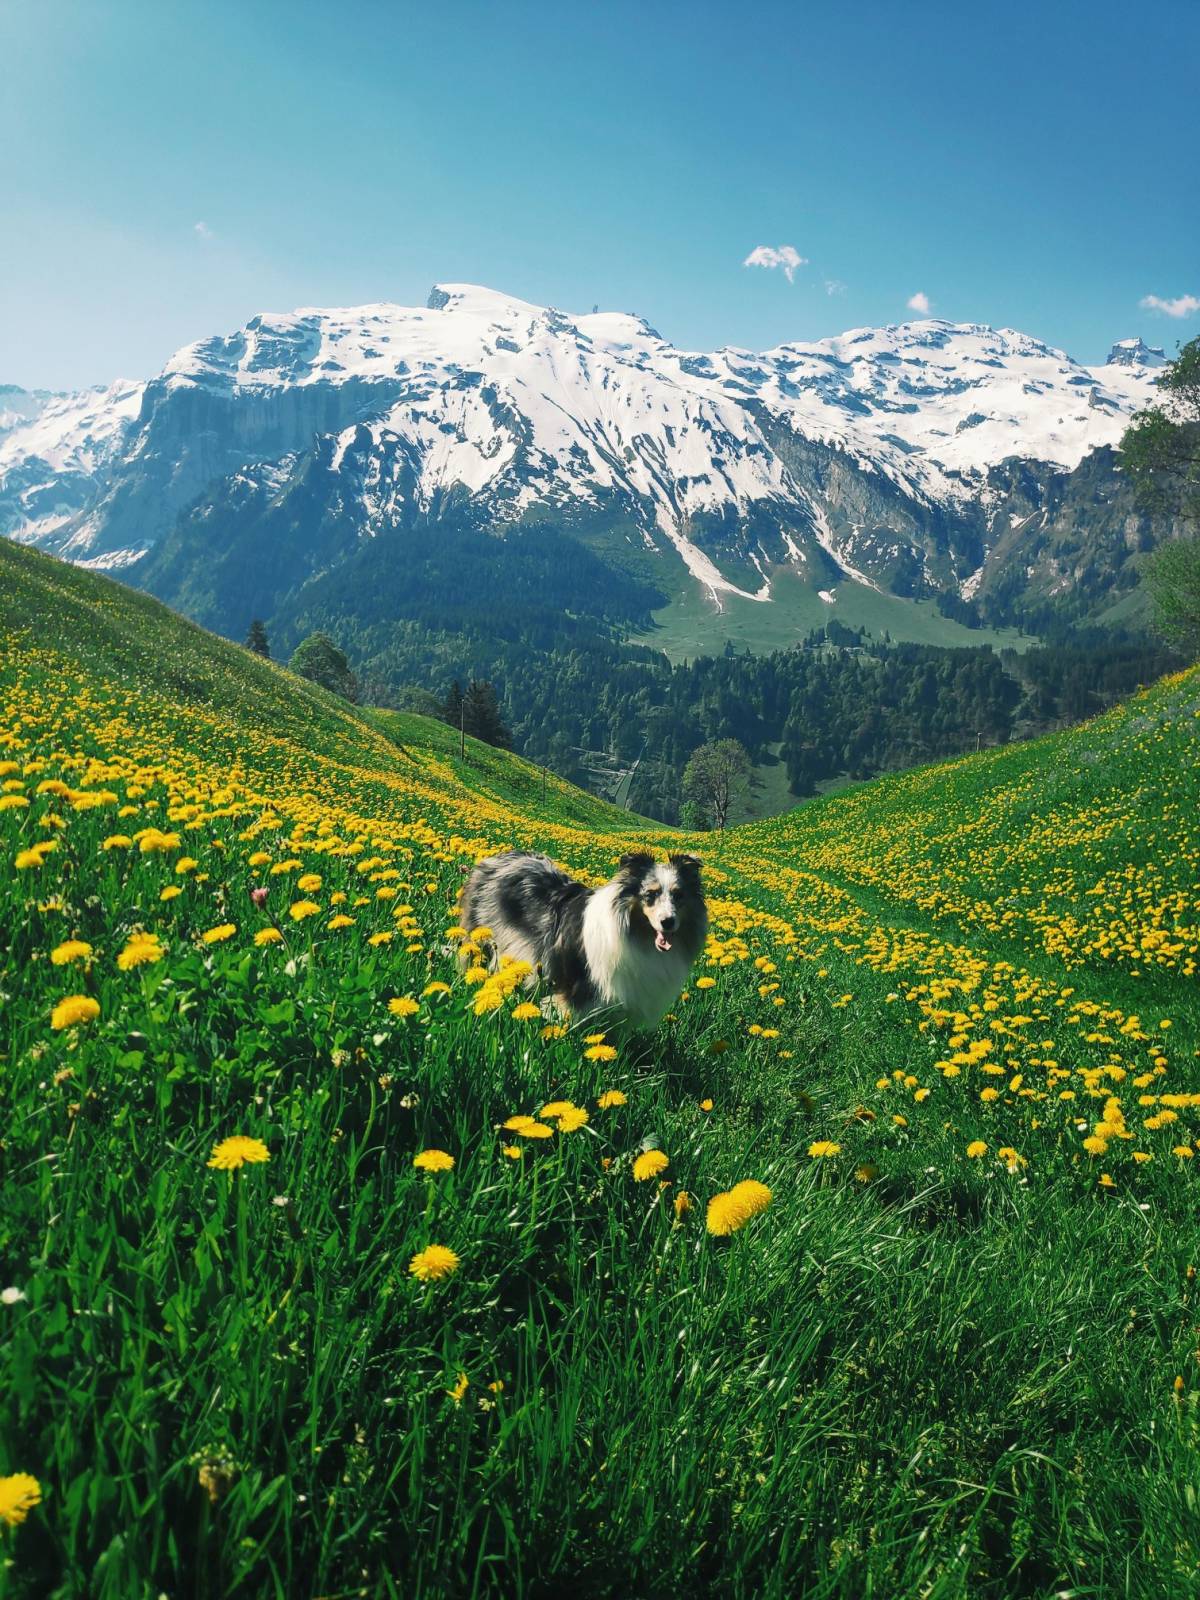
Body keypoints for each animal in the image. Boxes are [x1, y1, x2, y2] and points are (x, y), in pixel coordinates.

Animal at [457, 844, 704, 1030]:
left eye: (679, 895)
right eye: (650, 894)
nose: (668, 922)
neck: (636, 934)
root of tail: (497, 858)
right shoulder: (577, 992)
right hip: (480, 938)